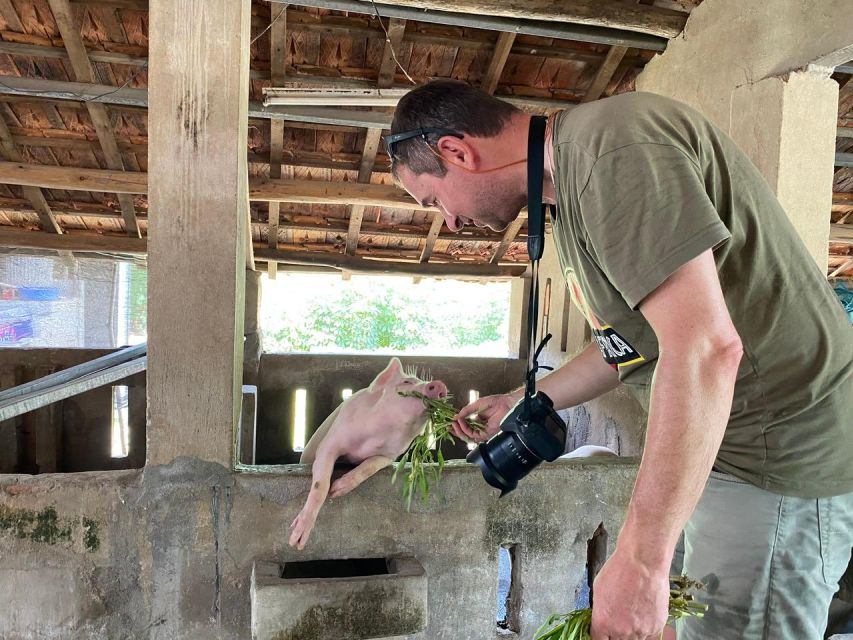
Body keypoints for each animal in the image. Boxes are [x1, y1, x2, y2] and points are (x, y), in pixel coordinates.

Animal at [288, 358, 446, 548]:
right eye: (407, 382)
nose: (440, 384)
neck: (376, 435)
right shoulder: (330, 443)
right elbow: (321, 485)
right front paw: (296, 541)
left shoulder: (390, 455)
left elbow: (369, 467)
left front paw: (338, 489)